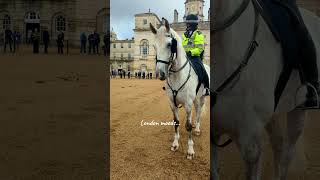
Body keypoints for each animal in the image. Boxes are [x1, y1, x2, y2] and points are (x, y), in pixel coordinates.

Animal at [150, 17, 210, 159]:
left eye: (169, 44)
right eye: (154, 46)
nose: (160, 74)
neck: (177, 76)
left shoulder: (188, 104)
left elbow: (188, 125)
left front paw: (190, 150)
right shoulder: (172, 103)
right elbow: (176, 122)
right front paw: (175, 144)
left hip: (201, 98)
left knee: (199, 112)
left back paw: (197, 129)